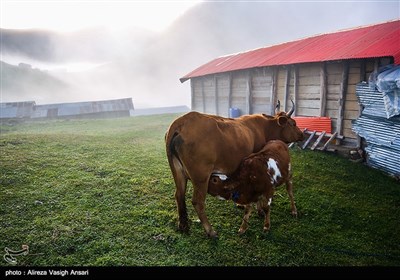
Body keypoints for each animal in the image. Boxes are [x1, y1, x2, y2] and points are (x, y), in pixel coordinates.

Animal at [166, 101, 304, 237]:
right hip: (201, 177)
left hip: (178, 172)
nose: (302, 134)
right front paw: (259, 210)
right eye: (293, 123)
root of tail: (181, 121)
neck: (264, 128)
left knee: (179, 195)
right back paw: (210, 231)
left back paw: (183, 225)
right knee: (198, 202)